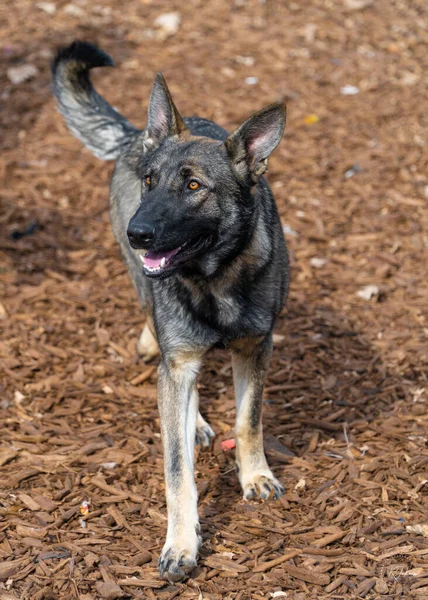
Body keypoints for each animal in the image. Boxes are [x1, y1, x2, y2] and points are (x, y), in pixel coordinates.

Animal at [51, 41, 290, 580]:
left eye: (194, 187)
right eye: (150, 181)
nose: (138, 234)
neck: (213, 278)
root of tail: (137, 136)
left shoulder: (255, 348)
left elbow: (248, 421)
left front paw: (254, 475)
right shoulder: (178, 363)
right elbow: (177, 469)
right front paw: (181, 543)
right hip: (151, 306)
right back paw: (191, 417)